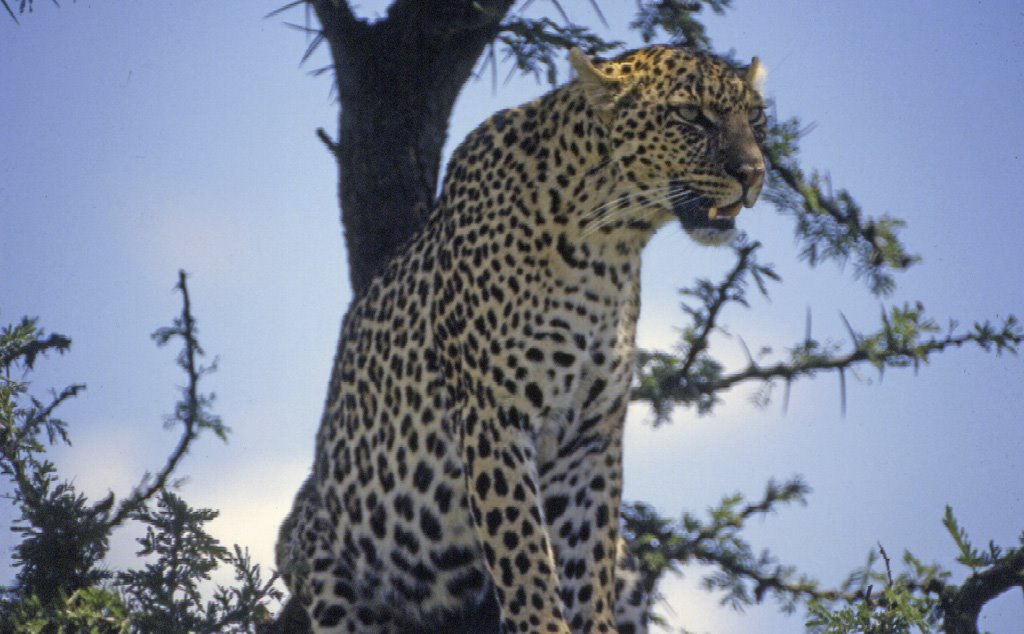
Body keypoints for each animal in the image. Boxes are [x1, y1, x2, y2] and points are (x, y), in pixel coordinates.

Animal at [276, 45, 765, 634]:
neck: (608, 245)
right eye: (692, 115)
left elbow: (587, 564)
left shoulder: (591, 439)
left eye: (756, 118)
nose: (754, 172)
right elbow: (526, 560)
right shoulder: (495, 417)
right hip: (324, 563)